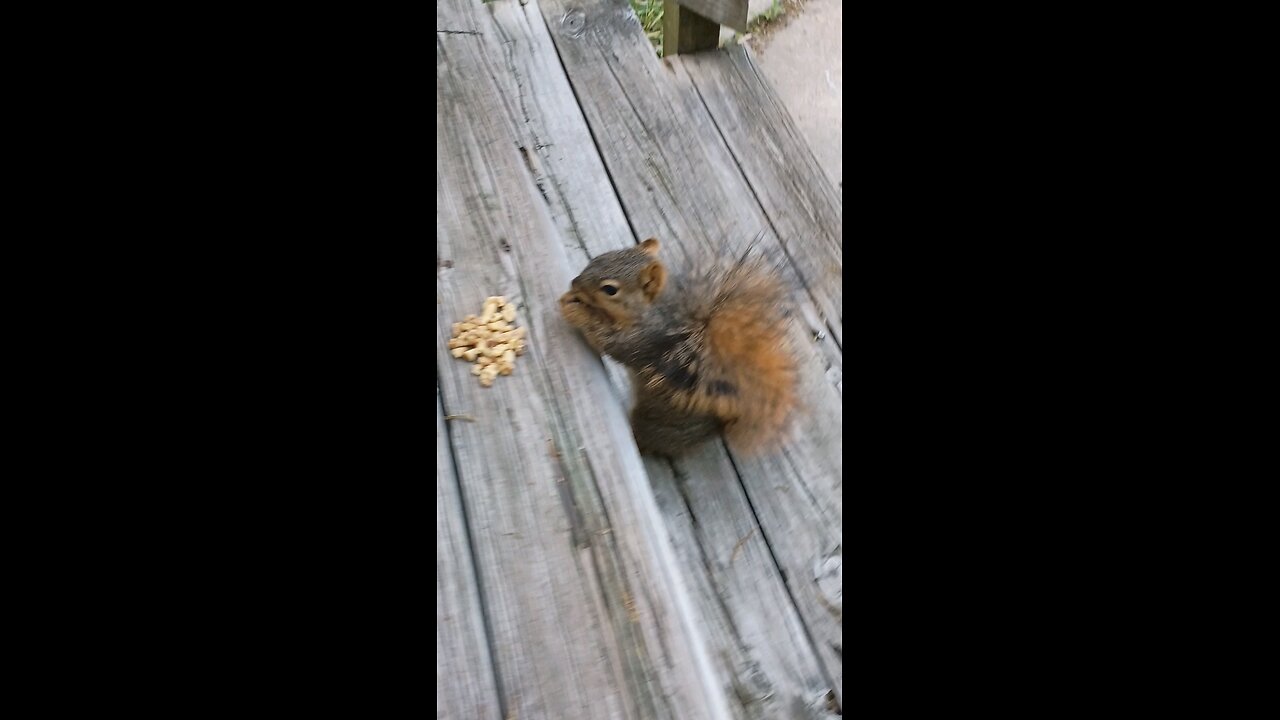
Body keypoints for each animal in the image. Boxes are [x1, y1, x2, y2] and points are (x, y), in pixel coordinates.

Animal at [563, 238, 798, 456]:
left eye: (610, 289)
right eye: (597, 258)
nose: (574, 283)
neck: (653, 309)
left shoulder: (645, 341)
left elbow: (610, 343)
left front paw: (577, 311)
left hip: (655, 422)